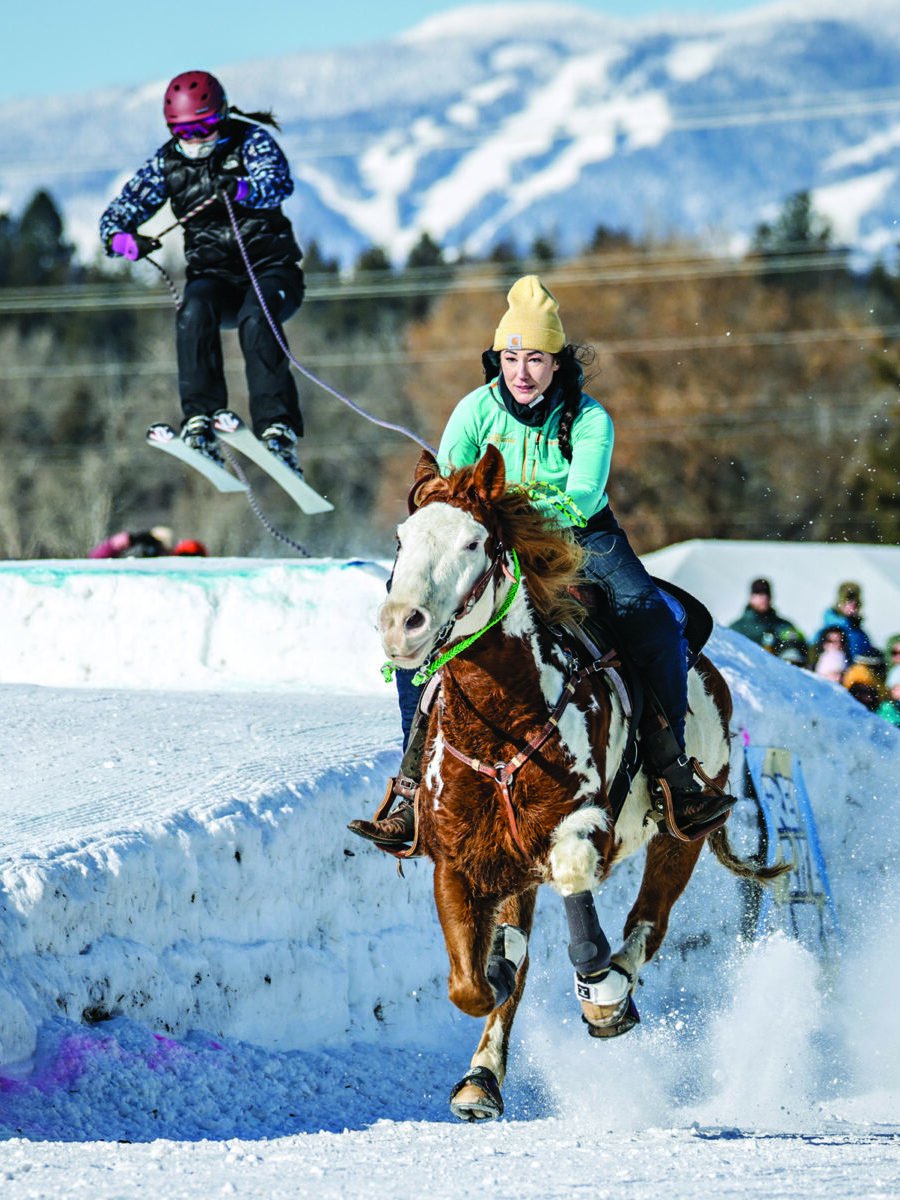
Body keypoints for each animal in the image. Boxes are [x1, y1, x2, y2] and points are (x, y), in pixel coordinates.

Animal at [377, 444, 785, 1122]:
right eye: (402, 539)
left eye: (472, 542)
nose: (400, 625)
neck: (506, 720)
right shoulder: (460, 856)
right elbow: (472, 982)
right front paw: (494, 980)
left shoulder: (581, 823)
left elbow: (577, 903)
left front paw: (602, 992)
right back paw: (483, 1075)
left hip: (682, 836)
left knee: (648, 922)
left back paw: (612, 988)